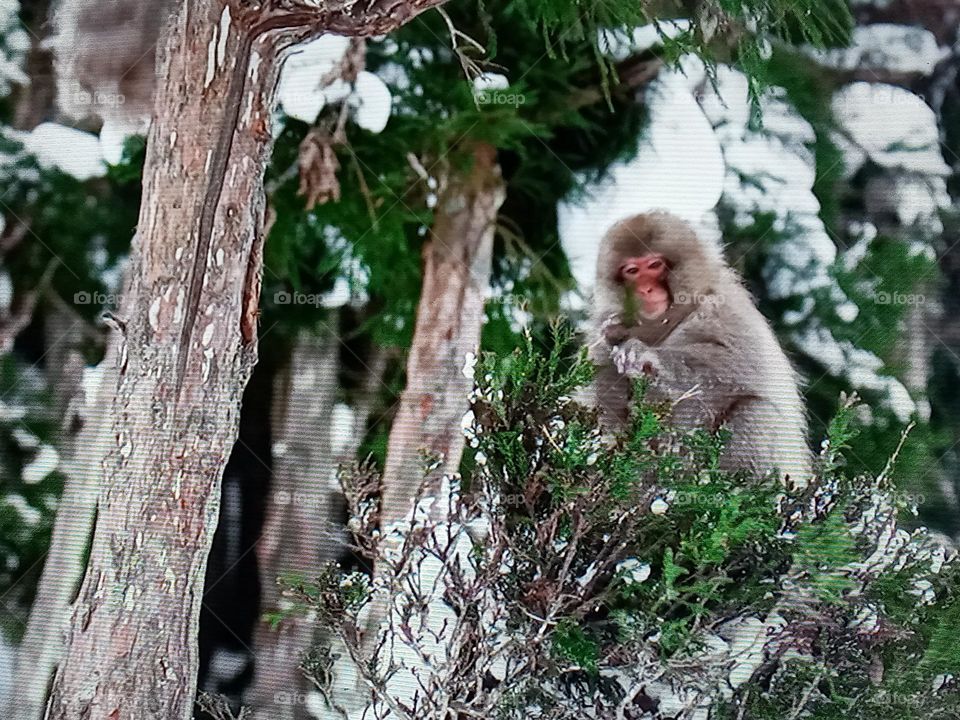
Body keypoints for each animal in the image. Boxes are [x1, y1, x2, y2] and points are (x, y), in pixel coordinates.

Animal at [586, 211, 811, 487]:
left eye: (654, 265)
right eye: (632, 270)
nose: (646, 289)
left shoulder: (724, 307)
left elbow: (732, 367)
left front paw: (646, 357)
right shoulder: (600, 332)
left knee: (755, 410)